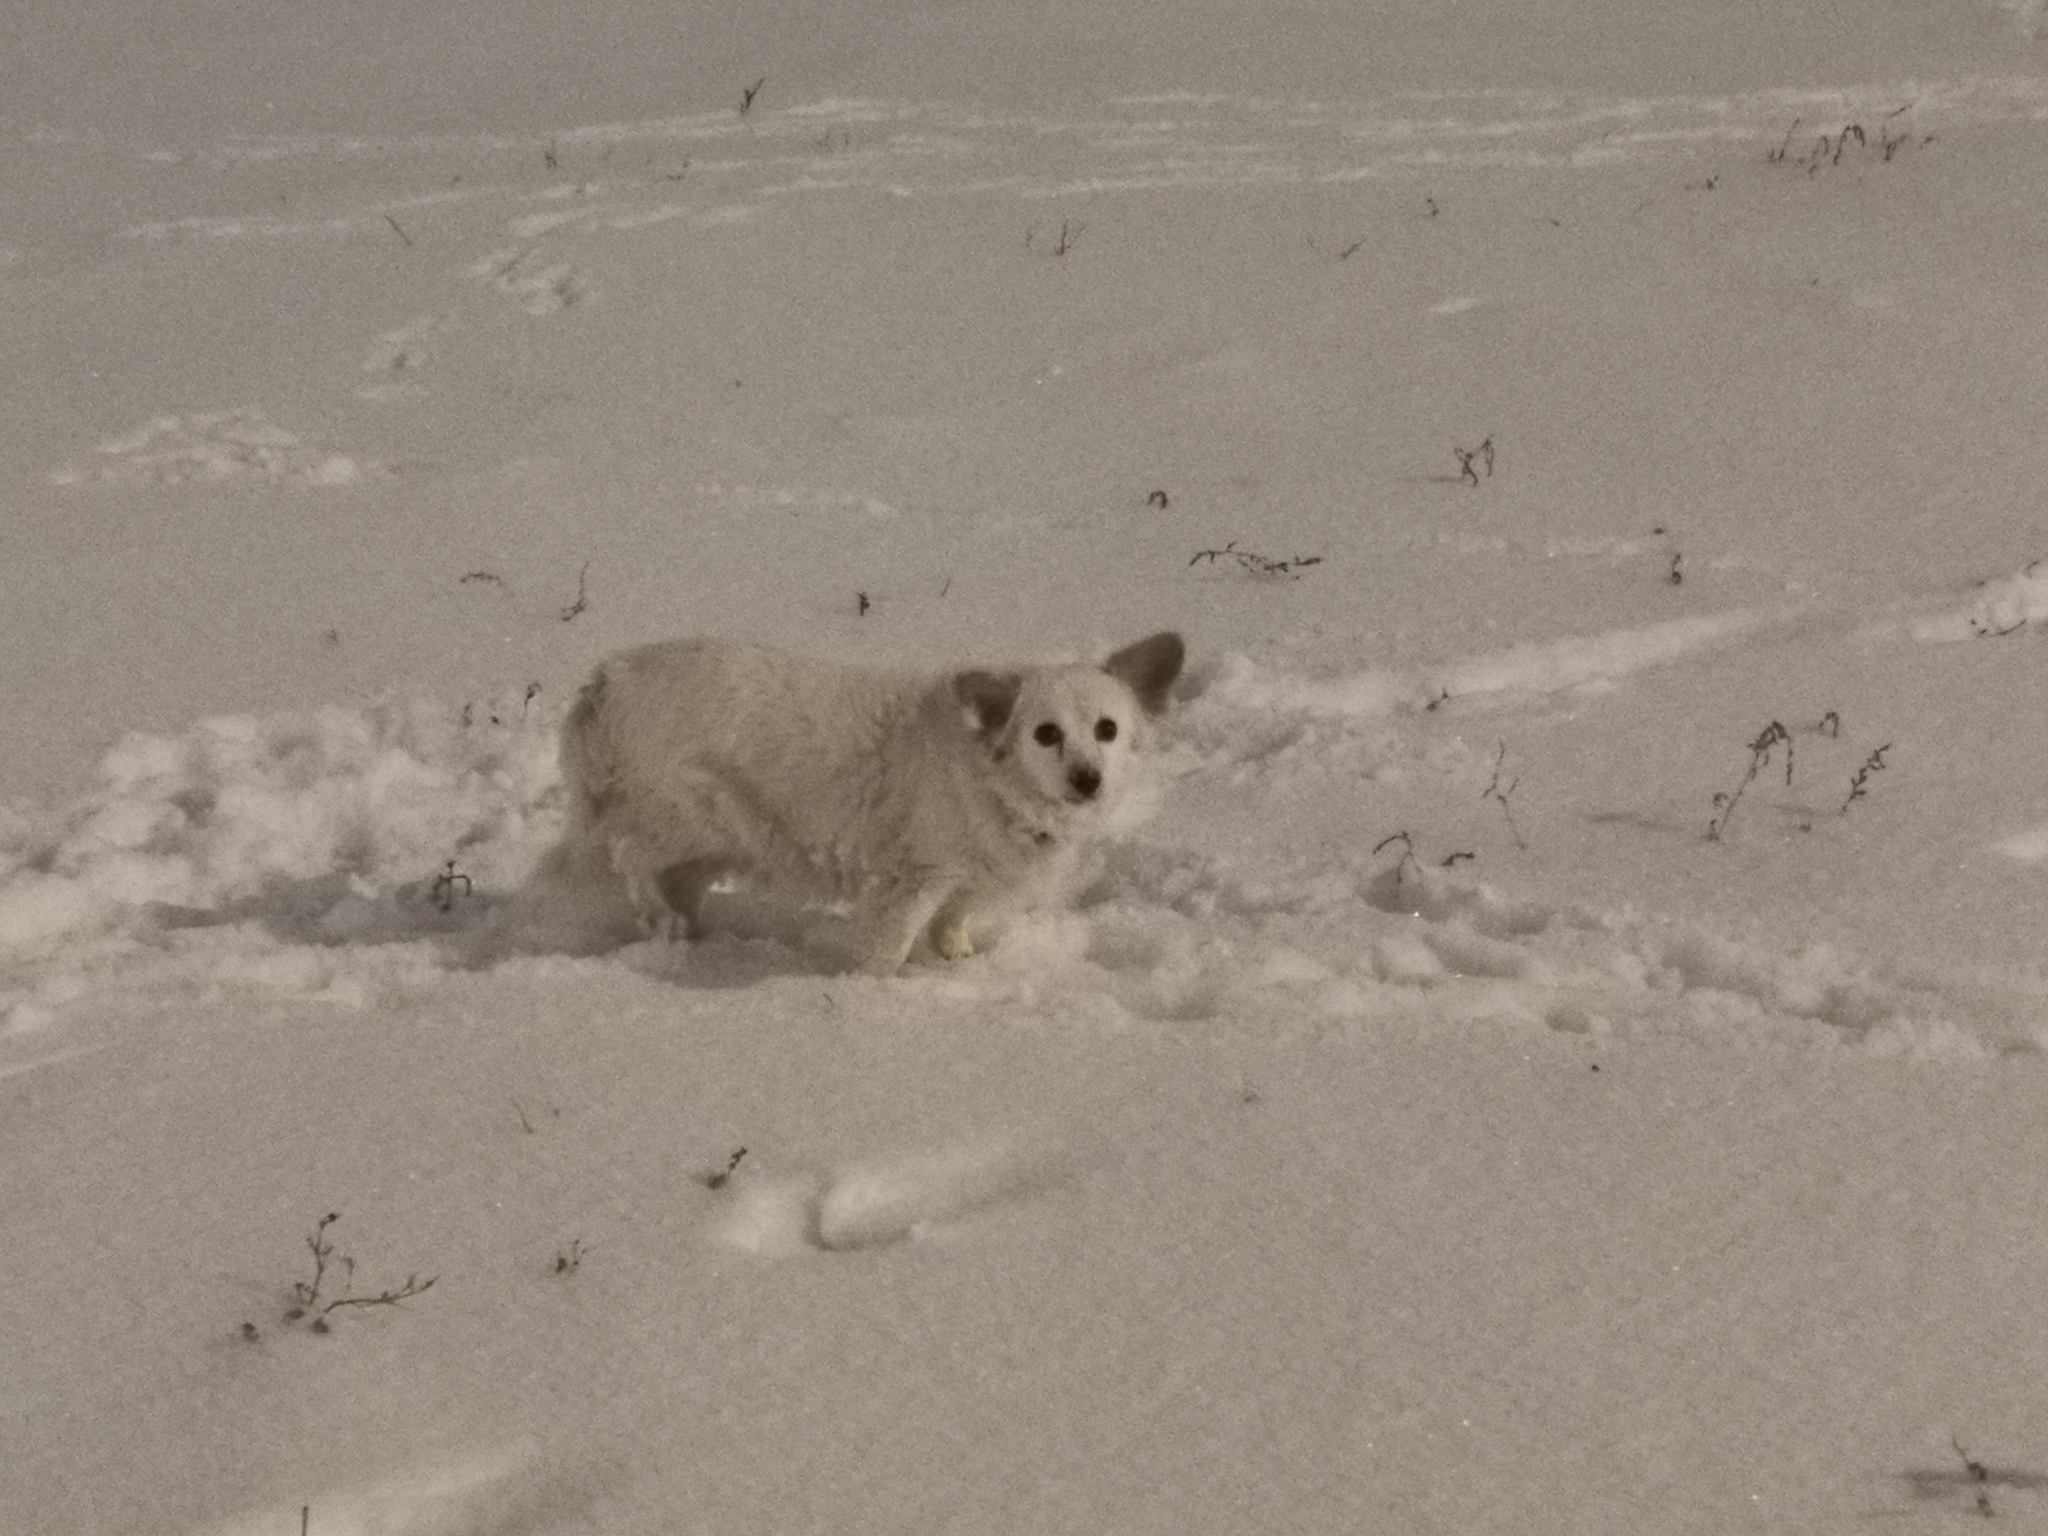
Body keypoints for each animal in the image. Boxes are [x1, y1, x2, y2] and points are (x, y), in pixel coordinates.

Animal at [548, 626, 1187, 974]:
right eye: (1046, 734)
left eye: (1107, 730)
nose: (1087, 778)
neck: (987, 778)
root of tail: (605, 681)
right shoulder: (910, 879)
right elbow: (890, 947)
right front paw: (870, 994)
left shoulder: (967, 881)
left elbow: (952, 921)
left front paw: (955, 956)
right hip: (690, 816)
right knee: (627, 854)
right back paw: (655, 915)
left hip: (716, 842)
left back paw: (683, 930)